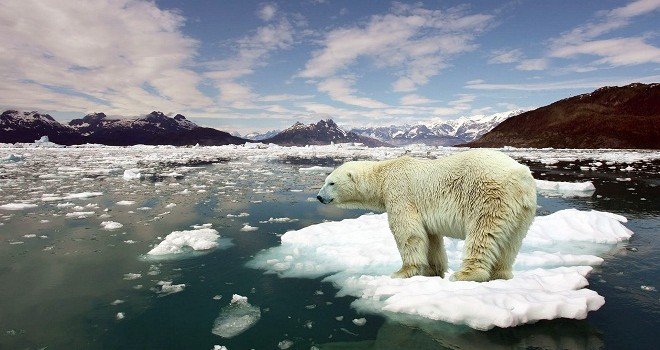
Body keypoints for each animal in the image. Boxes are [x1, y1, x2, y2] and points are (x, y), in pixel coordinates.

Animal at [318, 150, 540, 282]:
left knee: (483, 234)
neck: (384, 174)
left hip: (489, 197)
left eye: (331, 183)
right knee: (511, 243)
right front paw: (433, 270)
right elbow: (431, 237)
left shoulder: (400, 192)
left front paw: (402, 272)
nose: (319, 197)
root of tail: (521, 176)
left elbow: (408, 232)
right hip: (522, 211)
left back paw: (465, 274)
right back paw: (501, 274)